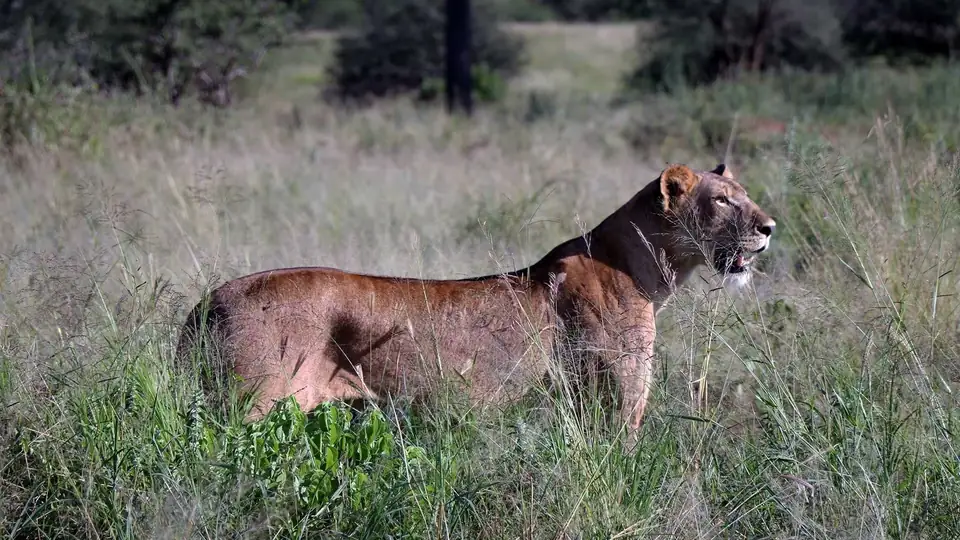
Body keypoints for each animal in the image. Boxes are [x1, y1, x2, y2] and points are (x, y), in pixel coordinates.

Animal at [176, 163, 776, 434]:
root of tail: (210, 302)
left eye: (746, 197)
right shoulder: (618, 402)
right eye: (723, 202)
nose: (770, 227)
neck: (647, 269)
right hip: (248, 408)